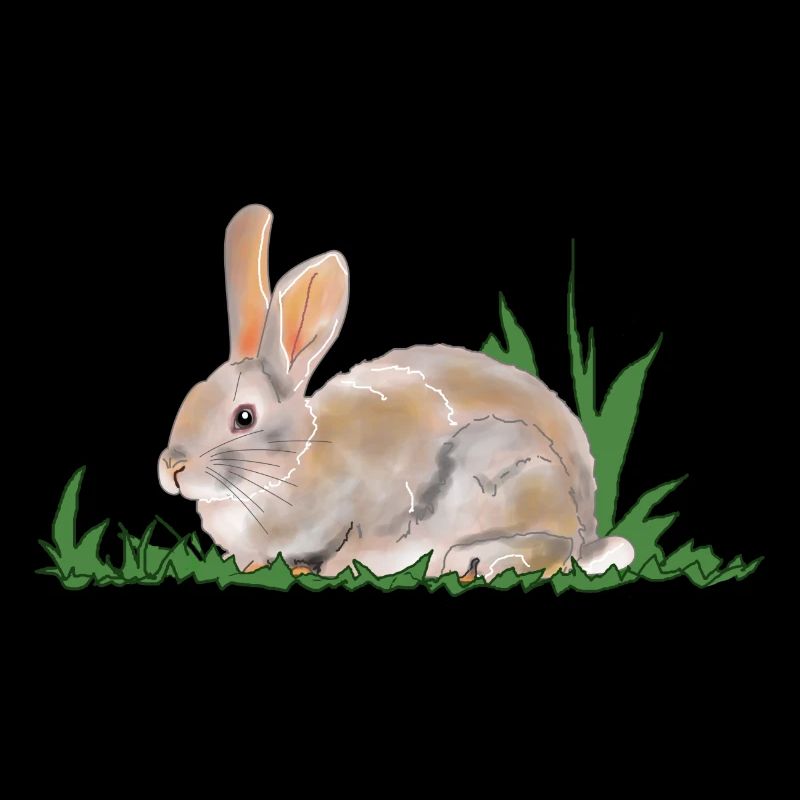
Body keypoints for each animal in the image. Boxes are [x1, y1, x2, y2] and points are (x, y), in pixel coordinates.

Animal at [158, 204, 634, 582]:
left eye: (244, 417)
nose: (172, 467)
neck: (297, 459)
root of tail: (588, 528)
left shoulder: (377, 506)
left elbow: (354, 545)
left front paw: (324, 570)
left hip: (505, 471)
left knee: (556, 550)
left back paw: (473, 562)